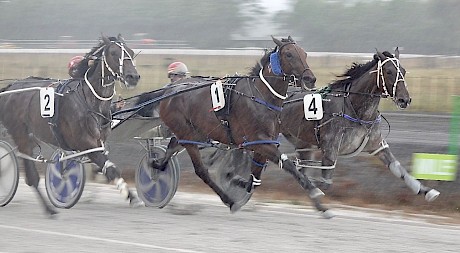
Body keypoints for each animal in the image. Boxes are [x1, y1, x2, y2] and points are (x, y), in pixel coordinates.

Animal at [0, 34, 141, 215]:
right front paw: (130, 195)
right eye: (114, 53)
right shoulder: (85, 143)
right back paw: (49, 210)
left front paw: (131, 196)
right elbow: (111, 168)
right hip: (20, 133)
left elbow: (105, 166)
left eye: (131, 52)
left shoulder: (99, 142)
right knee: (31, 176)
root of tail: (10, 87)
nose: (133, 77)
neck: (91, 100)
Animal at [278, 49, 440, 204]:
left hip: (303, 144)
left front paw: (427, 191)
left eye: (404, 71)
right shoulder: (330, 150)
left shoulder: (377, 145)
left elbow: (398, 169)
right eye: (388, 71)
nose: (404, 100)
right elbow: (324, 183)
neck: (357, 111)